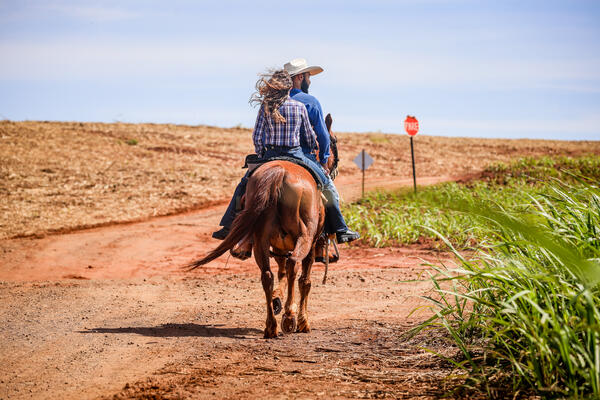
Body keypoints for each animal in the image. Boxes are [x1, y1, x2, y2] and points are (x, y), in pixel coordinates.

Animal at [190, 159, 326, 338]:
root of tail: (279, 173)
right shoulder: (312, 243)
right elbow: (305, 281)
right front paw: (303, 321)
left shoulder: (278, 247)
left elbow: (281, 272)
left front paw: (277, 298)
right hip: (306, 237)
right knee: (293, 265)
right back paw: (289, 316)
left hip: (260, 239)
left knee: (267, 275)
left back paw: (271, 326)